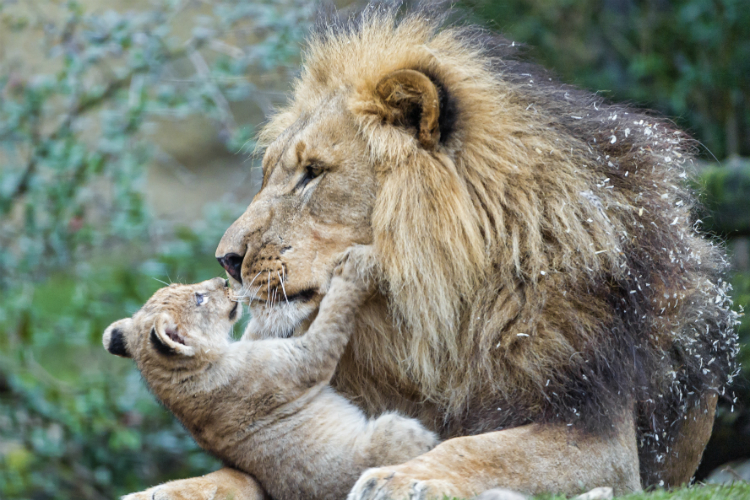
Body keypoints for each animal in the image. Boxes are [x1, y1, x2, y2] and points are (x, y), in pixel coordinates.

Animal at [126, 4, 736, 500]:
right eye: (268, 174)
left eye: (313, 174)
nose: (225, 260)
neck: (427, 315)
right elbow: (237, 471)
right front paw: (167, 489)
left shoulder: (598, 433)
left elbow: (484, 448)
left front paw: (402, 476)